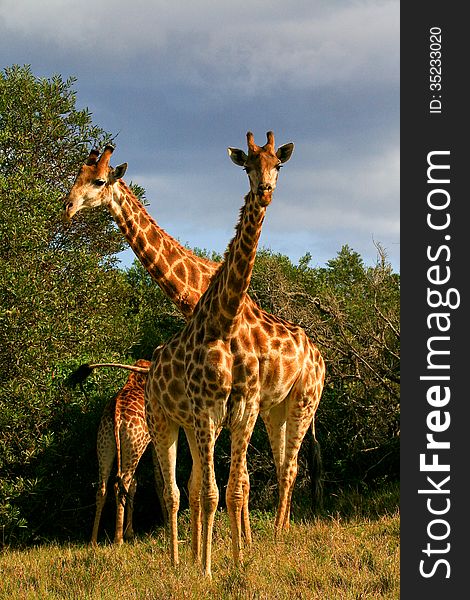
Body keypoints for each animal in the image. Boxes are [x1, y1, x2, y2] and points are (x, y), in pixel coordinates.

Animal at [81, 358, 167, 548]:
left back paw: (93, 541)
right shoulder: (155, 440)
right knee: (122, 483)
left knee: (104, 487)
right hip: (133, 445)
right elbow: (158, 481)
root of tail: (116, 415)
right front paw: (165, 522)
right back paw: (118, 539)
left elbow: (136, 484)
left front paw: (130, 532)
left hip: (106, 443)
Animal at [144, 131, 324, 576]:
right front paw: (208, 568)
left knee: (287, 467)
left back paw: (277, 539)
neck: (221, 321)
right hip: (167, 420)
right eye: (248, 167)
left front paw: (238, 559)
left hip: (299, 403)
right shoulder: (208, 412)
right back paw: (184, 560)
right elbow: (211, 490)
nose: (266, 190)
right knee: (177, 489)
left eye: (278, 164)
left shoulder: (243, 409)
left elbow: (233, 488)